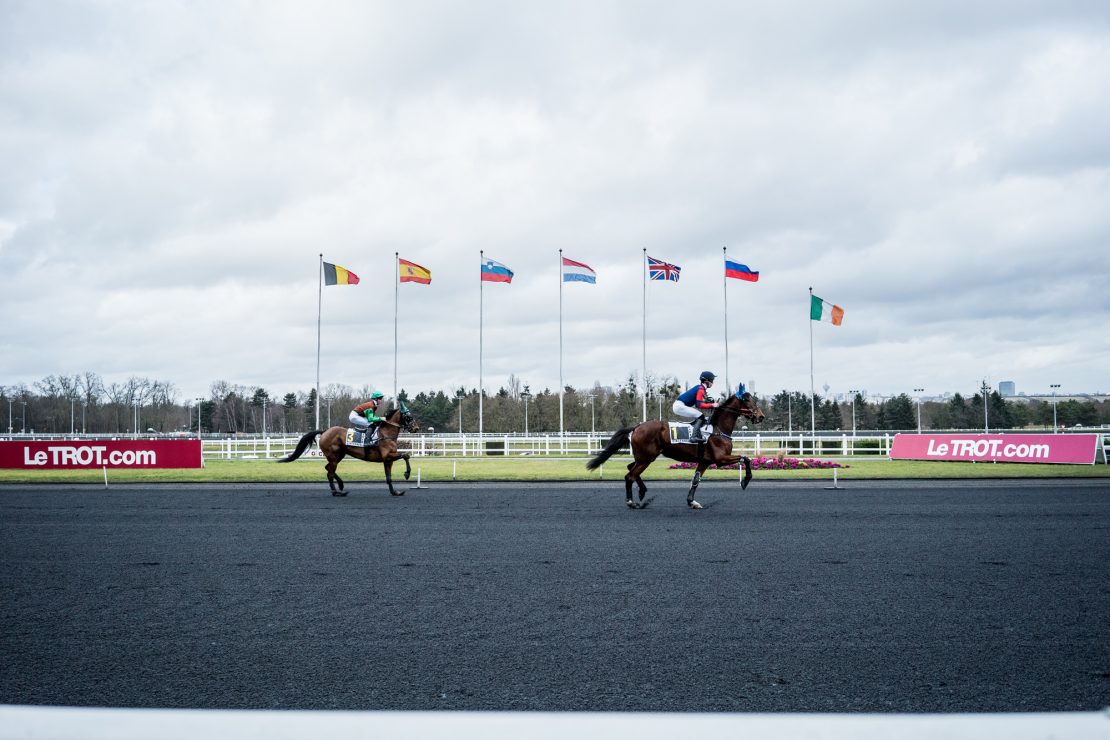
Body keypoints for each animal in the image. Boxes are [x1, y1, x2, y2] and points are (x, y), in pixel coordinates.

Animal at [275, 406, 417, 497]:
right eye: (408, 416)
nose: (416, 428)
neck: (386, 434)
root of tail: (325, 431)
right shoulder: (388, 455)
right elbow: (406, 455)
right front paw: (407, 474)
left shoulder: (387, 460)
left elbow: (389, 478)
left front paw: (395, 492)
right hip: (333, 456)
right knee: (330, 473)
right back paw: (337, 492)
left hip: (339, 455)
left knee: (328, 469)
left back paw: (341, 485)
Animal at [590, 388, 763, 510]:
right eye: (748, 400)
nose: (760, 416)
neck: (718, 429)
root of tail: (637, 426)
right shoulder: (720, 459)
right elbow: (746, 458)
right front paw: (745, 481)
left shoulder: (705, 461)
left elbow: (696, 480)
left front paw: (692, 502)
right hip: (647, 458)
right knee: (630, 476)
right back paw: (631, 501)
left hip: (644, 457)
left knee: (630, 468)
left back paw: (642, 491)